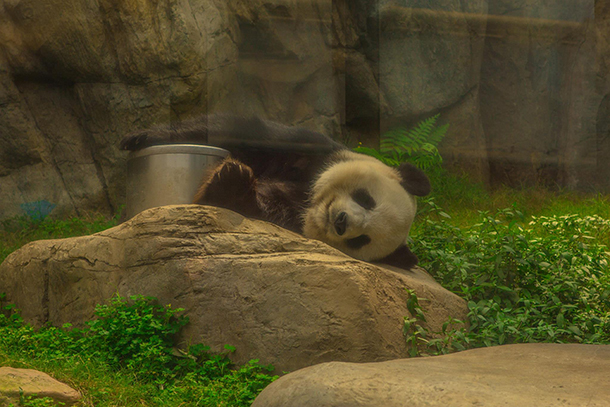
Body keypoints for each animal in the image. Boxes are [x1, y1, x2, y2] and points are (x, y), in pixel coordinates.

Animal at [120, 114, 428, 270]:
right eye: (366, 199)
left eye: (361, 240)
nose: (341, 222)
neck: (309, 201)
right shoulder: (312, 151)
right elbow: (246, 130)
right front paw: (141, 136)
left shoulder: (291, 217)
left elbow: (261, 208)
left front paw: (232, 182)